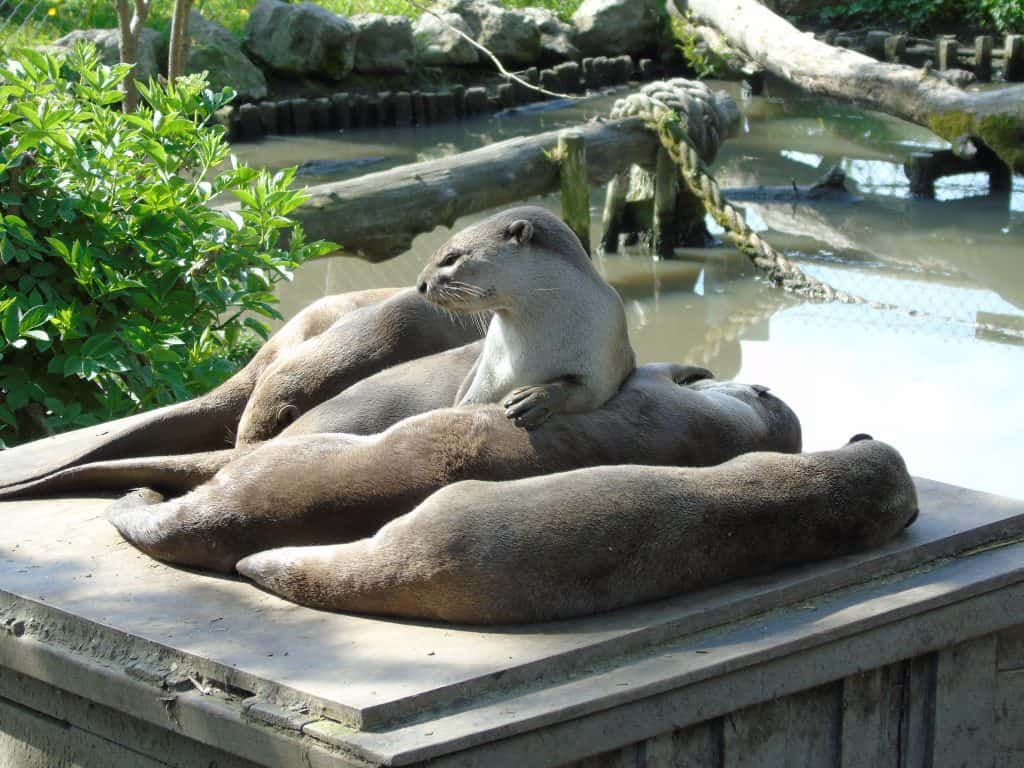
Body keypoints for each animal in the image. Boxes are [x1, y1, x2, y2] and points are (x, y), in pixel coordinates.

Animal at [417, 206, 635, 429]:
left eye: (451, 258)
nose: (420, 284)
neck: (528, 353)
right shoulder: (489, 369)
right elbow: (470, 399)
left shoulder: (606, 352)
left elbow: (584, 391)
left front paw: (534, 397)